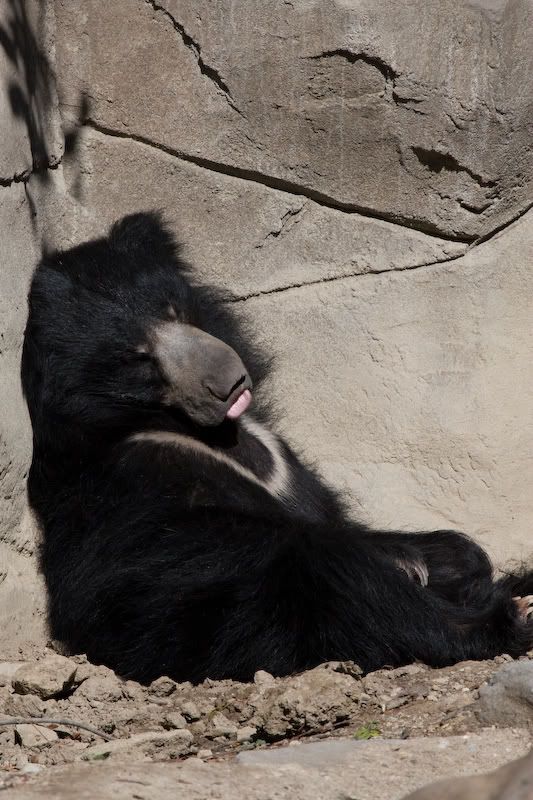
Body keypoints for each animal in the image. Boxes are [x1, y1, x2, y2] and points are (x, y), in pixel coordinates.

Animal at [21, 212, 533, 684]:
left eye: (173, 309)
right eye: (139, 358)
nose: (228, 382)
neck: (208, 433)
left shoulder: (281, 456)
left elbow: (343, 520)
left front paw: (428, 559)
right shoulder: (134, 484)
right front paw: (417, 572)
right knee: (336, 580)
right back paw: (505, 617)